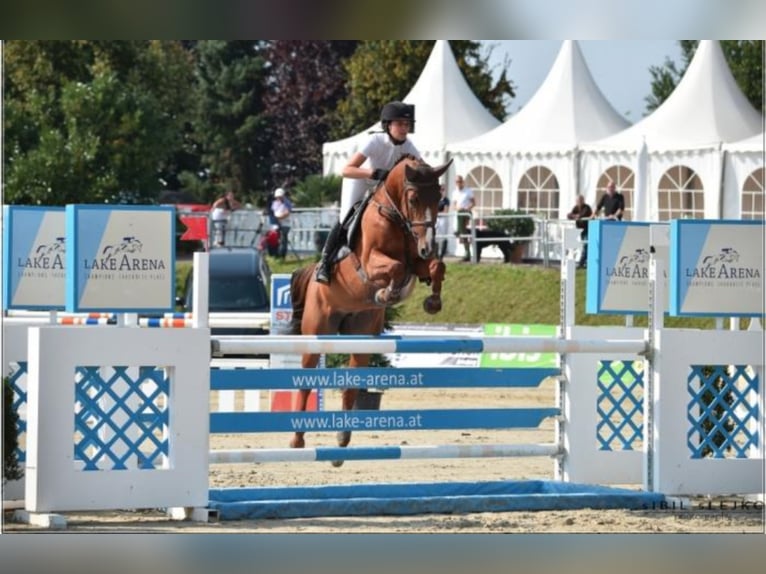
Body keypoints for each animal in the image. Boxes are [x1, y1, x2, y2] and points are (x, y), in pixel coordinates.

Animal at [292, 154, 452, 464]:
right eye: (413, 198)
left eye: (439, 198)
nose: (427, 246)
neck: (397, 217)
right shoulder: (371, 262)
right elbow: (396, 267)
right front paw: (387, 292)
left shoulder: (418, 262)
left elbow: (436, 267)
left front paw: (433, 303)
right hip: (317, 332)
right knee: (306, 379)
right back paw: (297, 439)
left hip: (361, 336)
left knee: (352, 382)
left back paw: (342, 440)